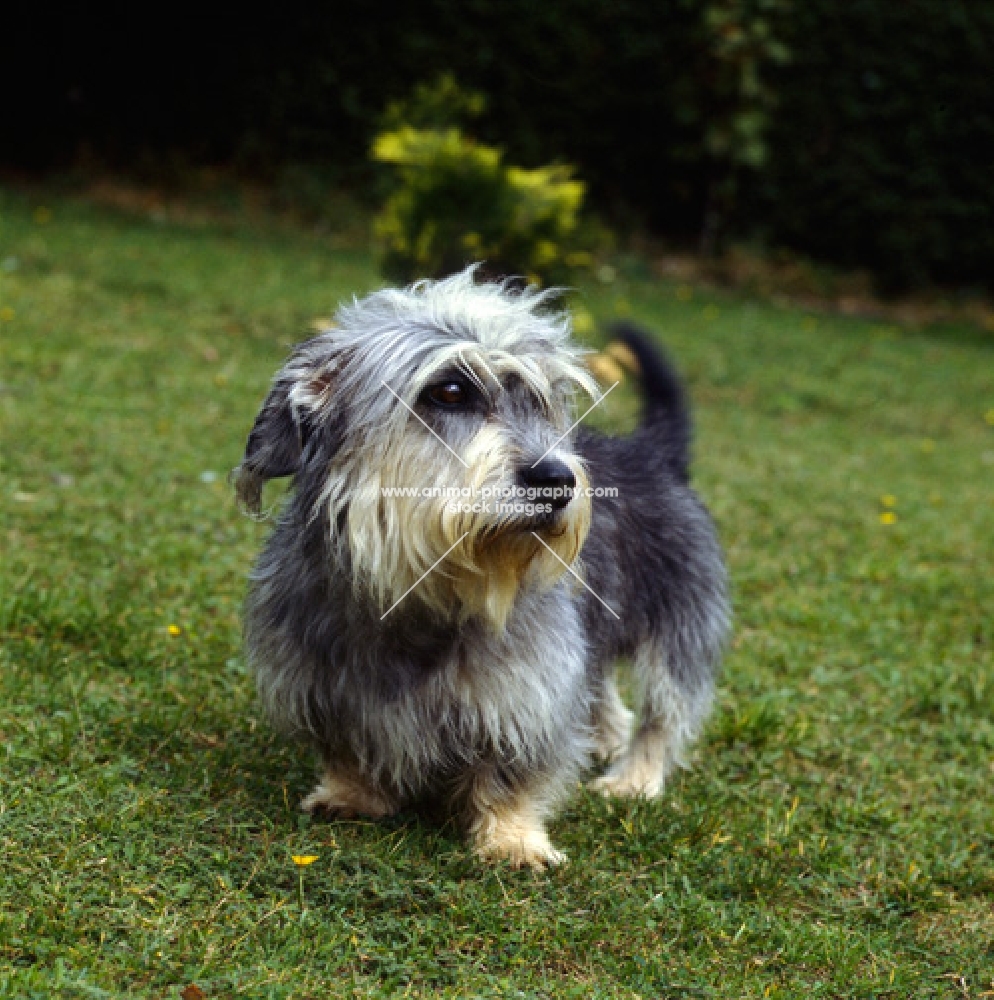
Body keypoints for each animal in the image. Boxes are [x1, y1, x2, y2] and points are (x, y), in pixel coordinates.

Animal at [232, 266, 728, 868]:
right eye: (449, 390)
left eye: (544, 401)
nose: (557, 480)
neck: (423, 592)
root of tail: (653, 452)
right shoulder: (319, 679)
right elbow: (349, 749)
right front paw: (352, 793)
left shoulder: (532, 684)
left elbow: (517, 768)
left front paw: (514, 838)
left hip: (679, 622)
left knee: (664, 712)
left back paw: (634, 777)